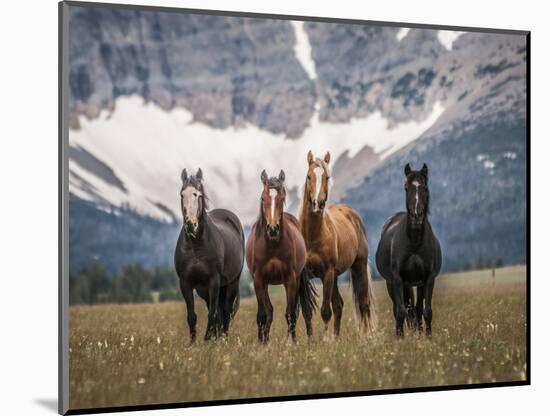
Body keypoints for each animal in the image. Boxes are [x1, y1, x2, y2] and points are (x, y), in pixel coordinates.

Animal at [175, 168, 246, 342]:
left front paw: (208, 339)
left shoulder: (214, 281)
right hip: (205, 290)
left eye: (197, 195)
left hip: (231, 283)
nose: (190, 225)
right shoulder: (185, 283)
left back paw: (223, 337)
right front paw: (193, 342)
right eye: (182, 195)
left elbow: (213, 313)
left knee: (225, 311)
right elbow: (192, 316)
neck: (196, 246)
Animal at [247, 167, 320, 342]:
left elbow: (291, 313)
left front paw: (291, 342)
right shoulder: (258, 279)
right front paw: (261, 343)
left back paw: (310, 340)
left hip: (298, 280)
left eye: (282, 197)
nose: (273, 229)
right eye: (263, 198)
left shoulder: (290, 279)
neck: (272, 245)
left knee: (305, 311)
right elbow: (262, 314)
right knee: (269, 311)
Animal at [300, 151, 378, 336]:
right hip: (335, 276)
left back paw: (366, 337)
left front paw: (325, 339)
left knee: (363, 304)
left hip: (358, 267)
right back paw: (337, 337)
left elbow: (325, 311)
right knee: (339, 305)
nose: (318, 204)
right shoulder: (303, 276)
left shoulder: (327, 273)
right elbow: (307, 311)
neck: (312, 236)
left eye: (327, 177)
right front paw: (310, 340)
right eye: (309, 176)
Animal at [376, 163, 444, 338]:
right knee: (400, 309)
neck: (414, 242)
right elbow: (400, 312)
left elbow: (426, 311)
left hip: (416, 283)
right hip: (393, 283)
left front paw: (427, 337)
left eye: (425, 187)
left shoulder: (428, 279)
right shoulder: (397, 279)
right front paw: (400, 338)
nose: (416, 215)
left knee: (416, 309)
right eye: (406, 187)